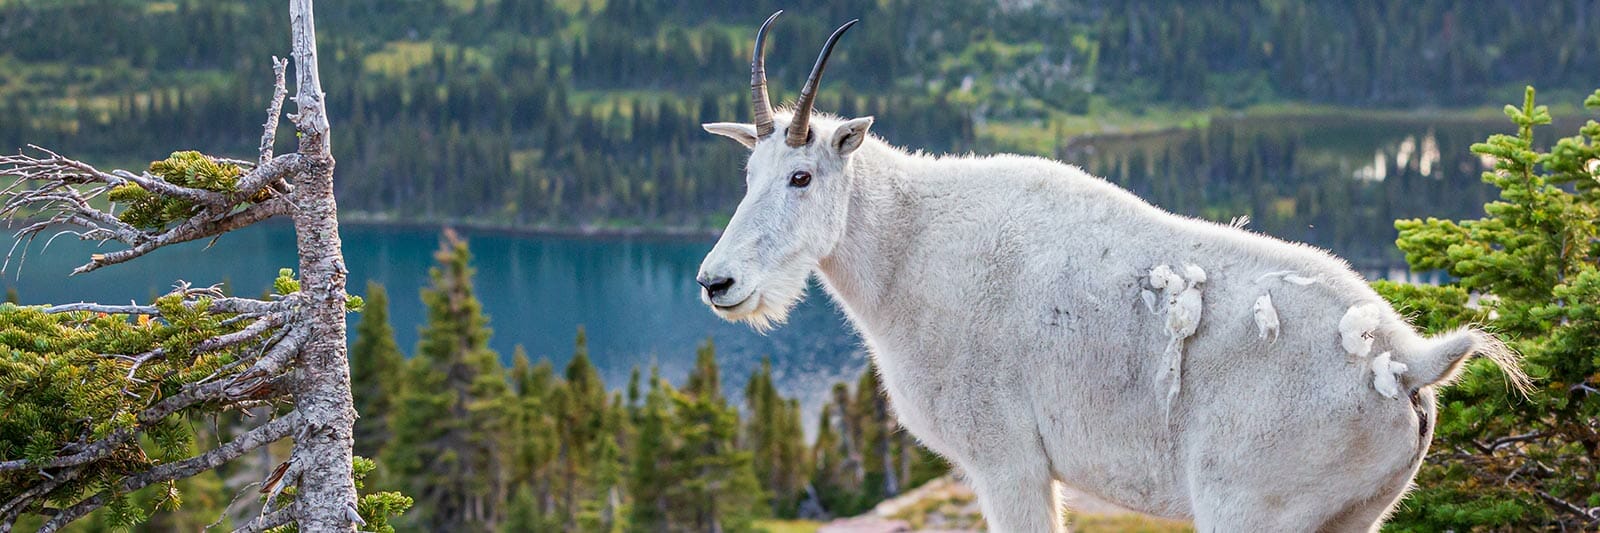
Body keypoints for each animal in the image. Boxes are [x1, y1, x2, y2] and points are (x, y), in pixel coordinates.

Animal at [695, 12, 1528, 532]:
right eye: (747, 172)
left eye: (802, 175)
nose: (717, 283)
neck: (910, 253)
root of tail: (1407, 359)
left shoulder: (1007, 458)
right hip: (1358, 511)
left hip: (1251, 505)